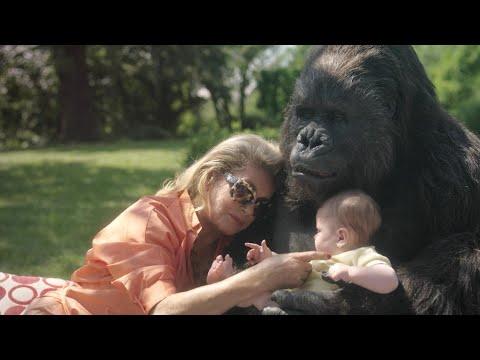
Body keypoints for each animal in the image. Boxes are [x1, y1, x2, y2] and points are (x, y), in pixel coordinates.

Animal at [228, 45, 480, 316]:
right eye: (305, 114)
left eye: (337, 117)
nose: (309, 140)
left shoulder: (457, 170)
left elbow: (466, 255)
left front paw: (343, 301)